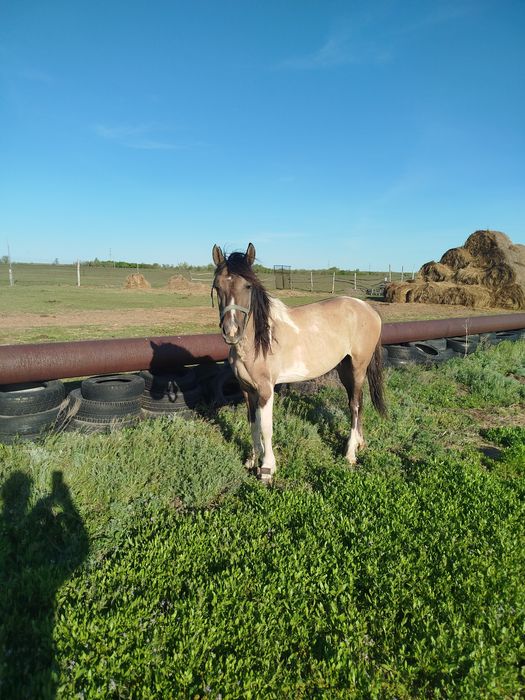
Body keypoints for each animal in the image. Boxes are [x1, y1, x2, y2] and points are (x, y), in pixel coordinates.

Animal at [211, 243, 386, 484]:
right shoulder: (247, 390)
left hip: (358, 368)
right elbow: (253, 424)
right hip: (345, 369)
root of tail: (368, 308)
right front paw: (252, 460)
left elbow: (266, 427)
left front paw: (267, 468)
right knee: (358, 401)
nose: (231, 332)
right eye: (217, 286)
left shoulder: (266, 390)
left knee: (355, 405)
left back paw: (350, 454)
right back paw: (360, 444)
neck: (258, 342)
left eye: (247, 286)